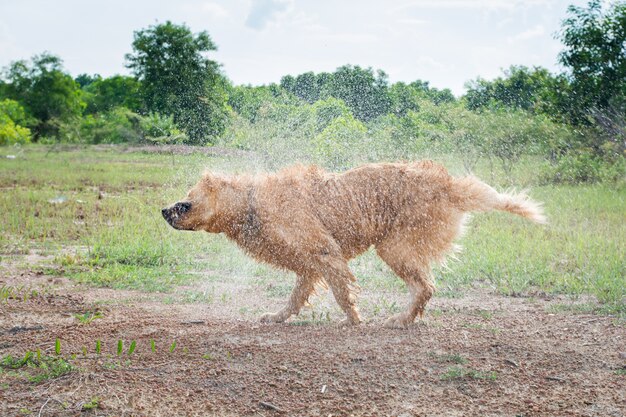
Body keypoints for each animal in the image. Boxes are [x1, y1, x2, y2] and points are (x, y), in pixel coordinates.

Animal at [163, 161, 544, 326]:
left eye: (187, 202)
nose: (164, 210)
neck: (250, 204)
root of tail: (449, 185)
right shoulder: (308, 265)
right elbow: (296, 296)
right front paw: (277, 316)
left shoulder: (324, 251)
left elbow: (342, 292)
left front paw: (353, 319)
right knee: (424, 286)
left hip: (393, 246)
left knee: (425, 286)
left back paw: (400, 319)